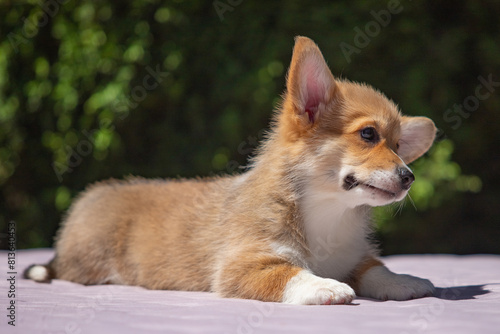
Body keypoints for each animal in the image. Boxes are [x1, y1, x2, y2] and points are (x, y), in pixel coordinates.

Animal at [26, 37, 438, 306]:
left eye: (398, 146)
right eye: (368, 134)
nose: (409, 177)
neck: (326, 212)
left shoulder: (353, 257)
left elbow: (375, 268)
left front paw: (405, 279)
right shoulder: (242, 266)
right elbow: (289, 273)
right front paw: (326, 287)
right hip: (87, 263)